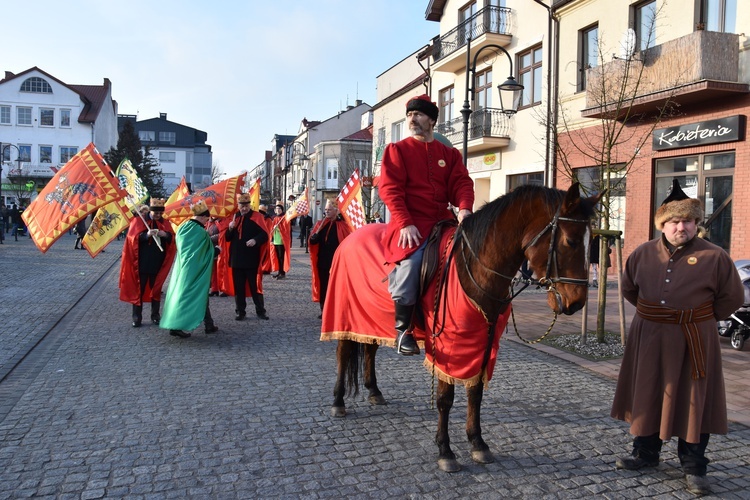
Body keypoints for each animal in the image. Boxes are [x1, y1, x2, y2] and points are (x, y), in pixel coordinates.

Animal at [320, 184, 604, 472]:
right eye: (570, 241)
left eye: (592, 240)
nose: (576, 302)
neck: (477, 268)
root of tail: (351, 237)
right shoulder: (450, 346)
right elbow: (445, 398)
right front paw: (445, 450)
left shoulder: (484, 343)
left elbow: (475, 392)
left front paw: (477, 443)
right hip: (345, 313)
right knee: (343, 353)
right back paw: (338, 401)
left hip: (371, 319)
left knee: (369, 349)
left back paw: (374, 391)